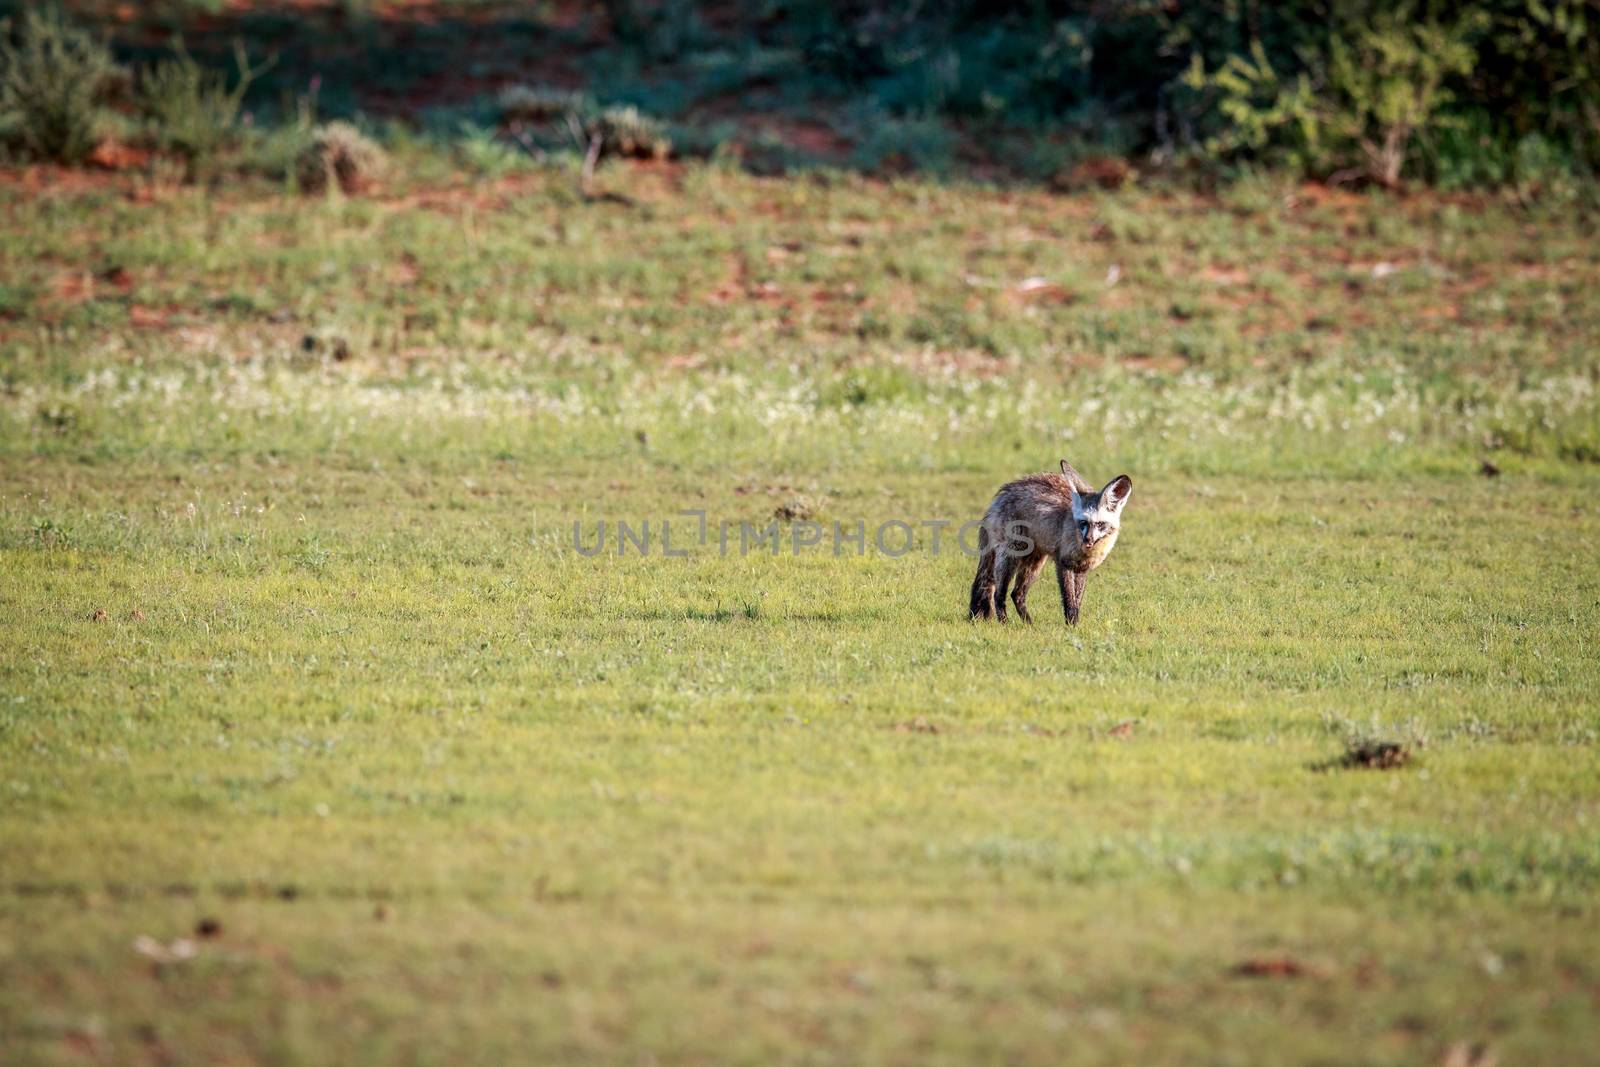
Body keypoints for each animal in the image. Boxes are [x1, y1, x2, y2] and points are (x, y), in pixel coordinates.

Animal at [966, 460, 1132, 627]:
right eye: (1083, 522)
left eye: (1100, 524)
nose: (1088, 540)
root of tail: (1000, 496)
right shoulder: (1063, 563)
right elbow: (1069, 600)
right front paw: (1071, 626)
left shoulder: (1082, 568)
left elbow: (1077, 601)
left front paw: (1075, 625)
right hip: (1011, 557)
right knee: (998, 595)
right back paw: (1006, 624)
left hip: (1034, 563)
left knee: (1017, 594)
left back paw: (1029, 625)